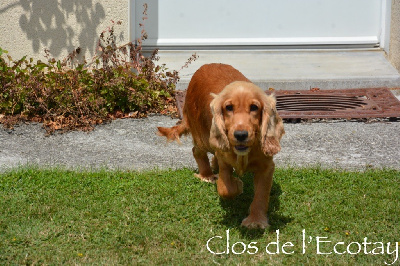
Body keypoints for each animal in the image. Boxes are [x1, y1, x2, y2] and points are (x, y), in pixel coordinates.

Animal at [156, 62, 284, 229]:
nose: (241, 135)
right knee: (197, 151)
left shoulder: (266, 166)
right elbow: (225, 188)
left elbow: (261, 196)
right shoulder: (225, 161)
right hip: (202, 136)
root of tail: (205, 65)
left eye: (254, 107)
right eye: (228, 107)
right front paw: (237, 184)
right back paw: (207, 175)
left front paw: (256, 220)